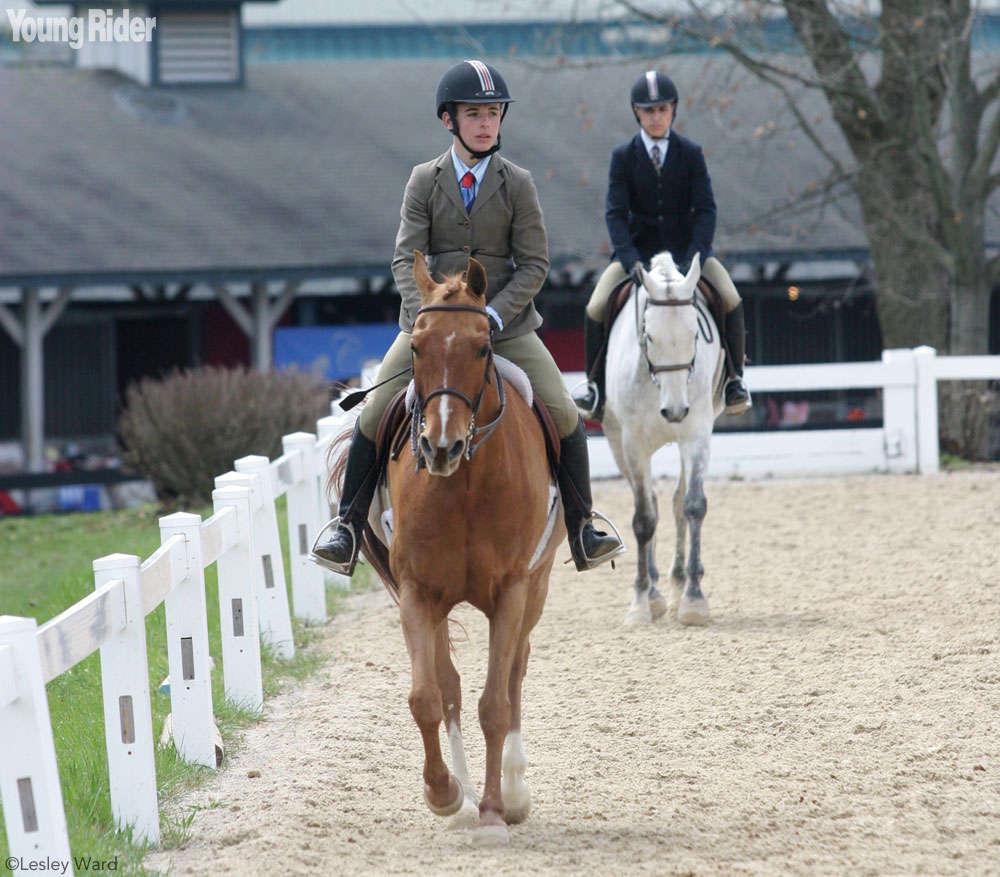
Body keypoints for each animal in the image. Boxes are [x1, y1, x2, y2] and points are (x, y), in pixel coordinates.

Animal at [330, 251, 564, 846]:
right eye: (417, 346)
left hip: (538, 585)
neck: (464, 484)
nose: (440, 447)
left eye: (483, 346)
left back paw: (514, 791)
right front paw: (445, 794)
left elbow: (496, 703)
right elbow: (427, 697)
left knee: (515, 672)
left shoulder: (511, 591)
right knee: (450, 683)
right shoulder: (417, 592)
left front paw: (494, 813)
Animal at [600, 252, 726, 627]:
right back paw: (655, 593)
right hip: (616, 441)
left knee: (674, 503)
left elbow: (693, 506)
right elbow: (644, 519)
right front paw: (640, 603)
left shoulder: (697, 434)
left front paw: (694, 600)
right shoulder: (633, 445)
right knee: (651, 505)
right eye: (650, 337)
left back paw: (676, 584)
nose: (674, 411)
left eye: (695, 335)